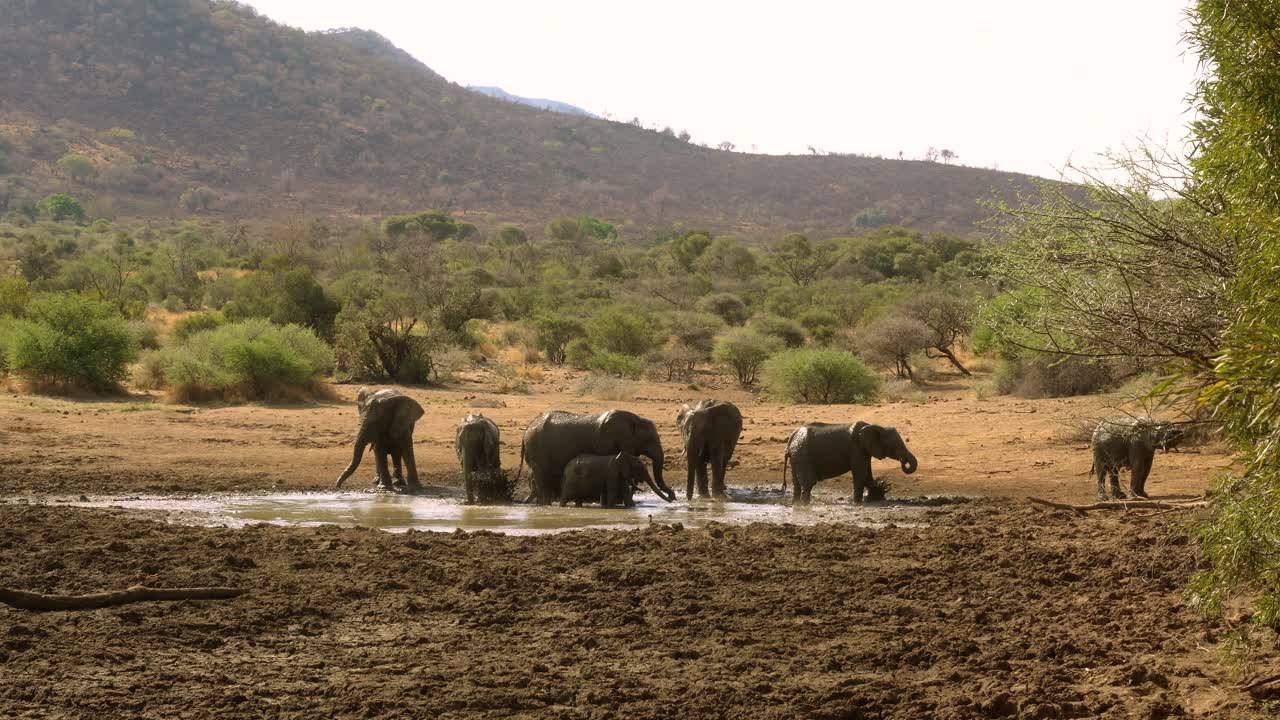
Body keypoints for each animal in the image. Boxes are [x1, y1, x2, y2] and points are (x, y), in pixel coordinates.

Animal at [517, 409, 676, 504]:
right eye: (649, 440)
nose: (672, 497)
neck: (635, 419)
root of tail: (526, 429)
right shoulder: (607, 442)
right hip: (536, 448)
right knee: (542, 476)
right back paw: (546, 504)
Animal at [781, 421, 918, 504]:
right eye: (896, 446)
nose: (903, 462)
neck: (876, 427)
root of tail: (792, 437)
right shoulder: (856, 448)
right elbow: (861, 473)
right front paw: (858, 503)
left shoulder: (864, 451)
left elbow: (867, 474)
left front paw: (874, 497)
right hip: (802, 455)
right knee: (808, 483)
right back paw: (804, 505)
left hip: (796, 456)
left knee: (796, 483)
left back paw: (796, 504)